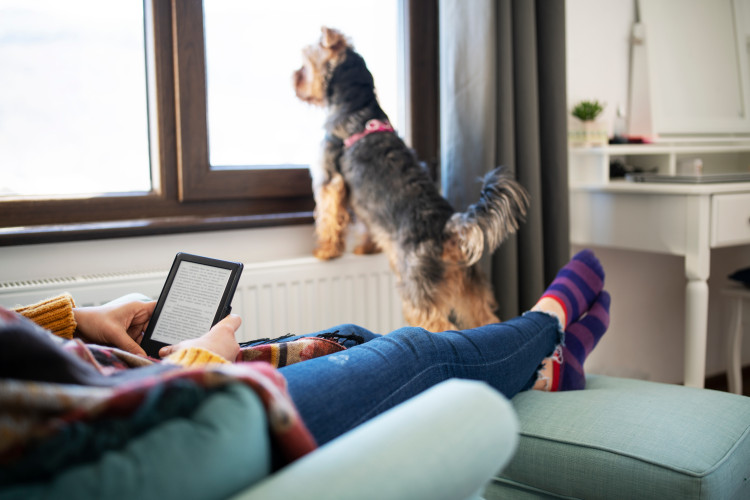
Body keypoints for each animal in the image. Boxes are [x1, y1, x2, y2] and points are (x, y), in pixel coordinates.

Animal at [294, 27, 528, 332]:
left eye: (306, 63)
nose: (295, 79)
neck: (358, 107)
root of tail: (449, 228)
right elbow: (367, 226)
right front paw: (366, 248)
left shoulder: (328, 178)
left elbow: (328, 217)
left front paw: (325, 251)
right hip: (471, 287)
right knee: (487, 321)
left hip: (418, 290)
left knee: (440, 326)